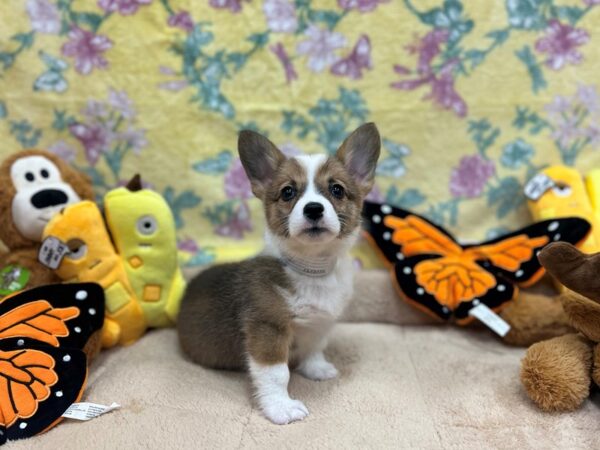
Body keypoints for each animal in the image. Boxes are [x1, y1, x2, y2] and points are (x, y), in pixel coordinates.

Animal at [176, 124, 380, 426]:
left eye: (337, 189)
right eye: (287, 192)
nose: (313, 209)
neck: (312, 270)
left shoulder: (320, 324)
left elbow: (315, 348)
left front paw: (316, 369)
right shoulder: (268, 330)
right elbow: (276, 374)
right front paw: (281, 408)